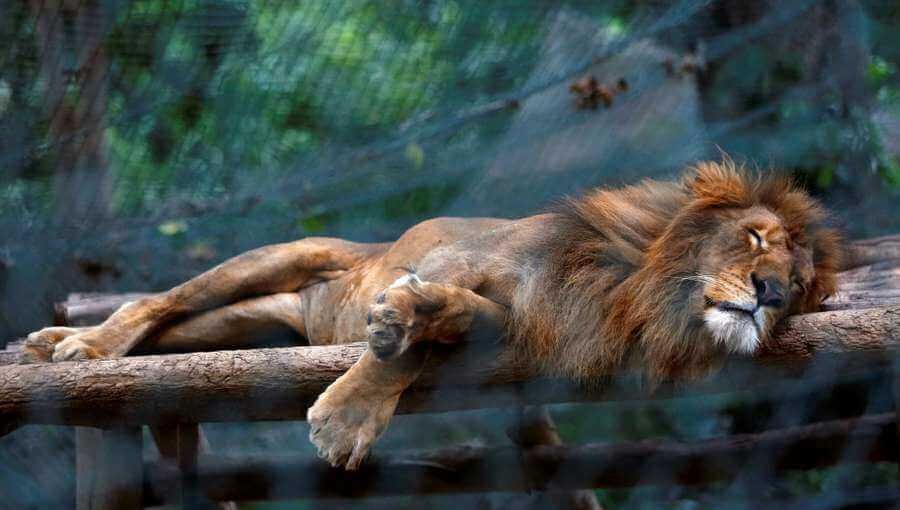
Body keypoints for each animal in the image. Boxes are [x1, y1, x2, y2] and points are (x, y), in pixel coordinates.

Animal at [21, 160, 840, 470]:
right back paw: (79, 347)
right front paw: (350, 411)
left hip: (244, 324)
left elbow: (444, 330)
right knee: (154, 301)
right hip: (276, 258)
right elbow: (408, 341)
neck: (631, 288)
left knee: (170, 333)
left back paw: (64, 345)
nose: (770, 294)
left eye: (800, 284)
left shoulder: (518, 323)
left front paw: (400, 333)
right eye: (754, 238)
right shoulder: (462, 256)